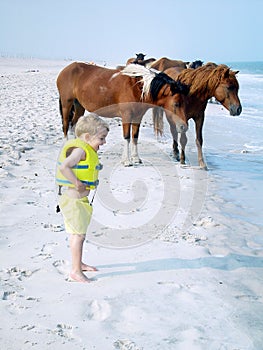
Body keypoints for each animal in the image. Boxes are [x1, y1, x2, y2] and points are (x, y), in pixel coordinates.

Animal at [57, 61, 190, 165]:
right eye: (176, 104)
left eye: (185, 103)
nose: (183, 127)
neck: (137, 87)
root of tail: (66, 69)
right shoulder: (126, 116)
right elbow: (127, 137)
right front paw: (126, 161)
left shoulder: (137, 117)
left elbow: (135, 136)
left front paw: (136, 158)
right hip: (66, 103)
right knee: (66, 125)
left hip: (79, 105)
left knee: (74, 124)